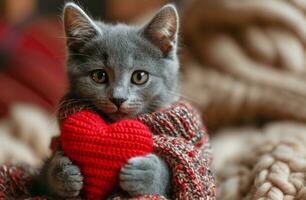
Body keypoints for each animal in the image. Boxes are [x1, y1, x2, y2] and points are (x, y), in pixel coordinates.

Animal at [33, 2, 180, 198]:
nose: (118, 98)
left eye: (140, 76)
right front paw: (63, 172)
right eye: (99, 76)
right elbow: (42, 179)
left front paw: (147, 173)